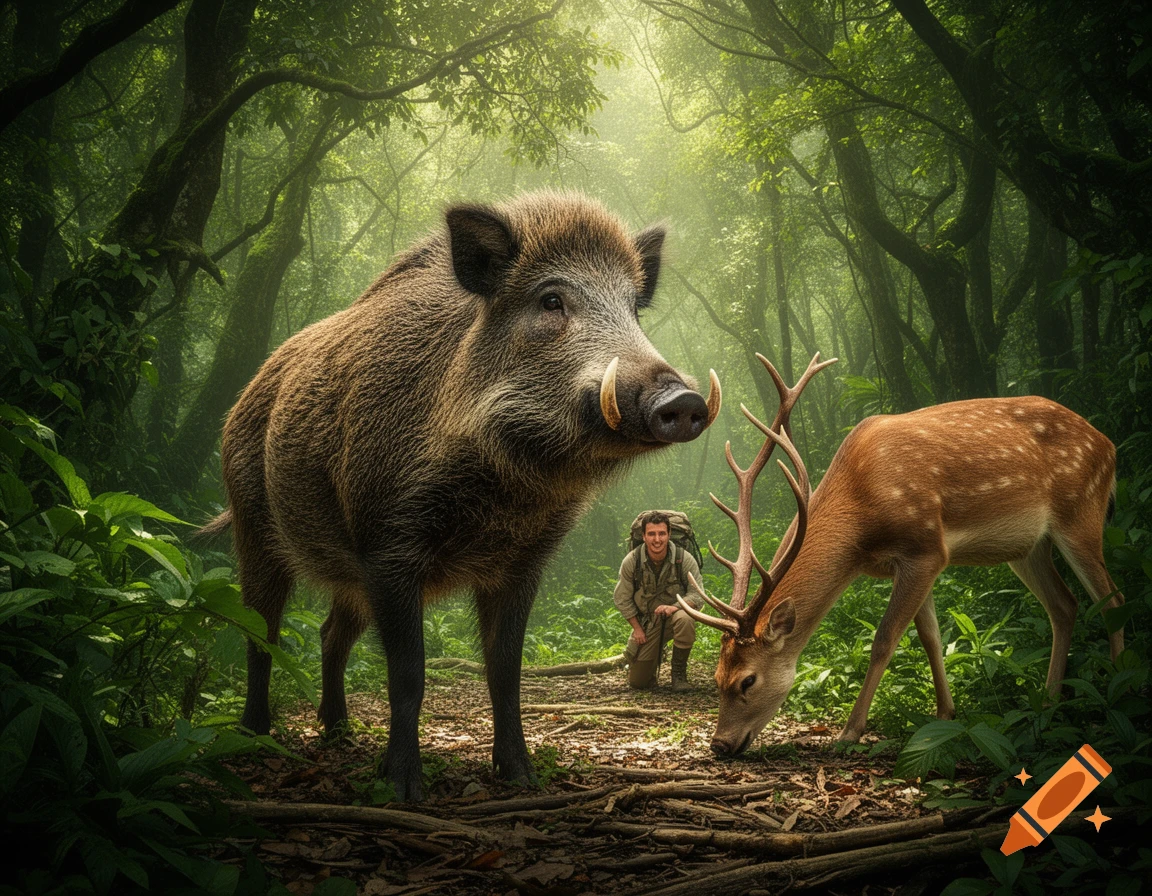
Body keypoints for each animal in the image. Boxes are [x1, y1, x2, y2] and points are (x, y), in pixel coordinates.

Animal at [205, 190, 721, 800]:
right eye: (551, 300)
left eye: (633, 308)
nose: (684, 400)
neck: (503, 485)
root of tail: (240, 403)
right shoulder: (389, 546)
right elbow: (409, 673)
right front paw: (404, 789)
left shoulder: (522, 561)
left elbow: (505, 670)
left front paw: (522, 778)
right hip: (254, 529)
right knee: (261, 631)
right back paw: (254, 736)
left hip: (347, 578)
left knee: (333, 634)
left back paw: (339, 733)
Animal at [678, 352, 1127, 755]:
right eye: (716, 677)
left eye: (747, 681)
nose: (720, 744)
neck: (860, 521)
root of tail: (1110, 446)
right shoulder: (911, 563)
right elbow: (930, 635)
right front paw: (946, 714)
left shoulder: (926, 546)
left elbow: (885, 638)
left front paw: (850, 732)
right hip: (1028, 547)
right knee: (1065, 605)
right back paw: (1047, 705)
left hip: (1081, 512)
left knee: (1112, 599)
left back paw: (1116, 691)